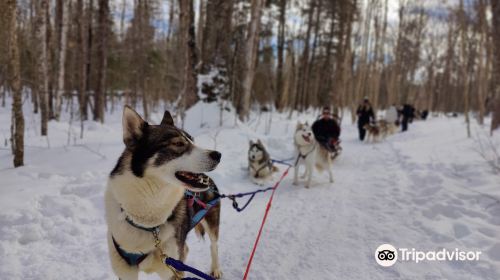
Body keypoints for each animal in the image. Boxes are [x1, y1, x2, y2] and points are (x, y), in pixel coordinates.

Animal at [104, 106, 222, 278]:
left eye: (192, 140)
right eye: (178, 143)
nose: (218, 155)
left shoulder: (171, 270)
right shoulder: (126, 272)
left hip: (212, 224)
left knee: (214, 245)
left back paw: (216, 269)